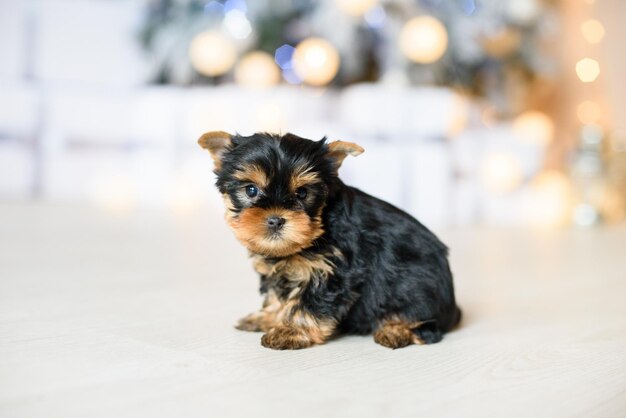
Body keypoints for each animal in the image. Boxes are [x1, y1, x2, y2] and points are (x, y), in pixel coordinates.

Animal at [199, 131, 458, 350]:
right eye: (251, 190)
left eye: (302, 193)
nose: (275, 220)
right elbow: (275, 293)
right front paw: (268, 317)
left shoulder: (334, 269)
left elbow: (310, 301)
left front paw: (290, 331)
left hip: (415, 287)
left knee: (428, 326)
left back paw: (395, 330)